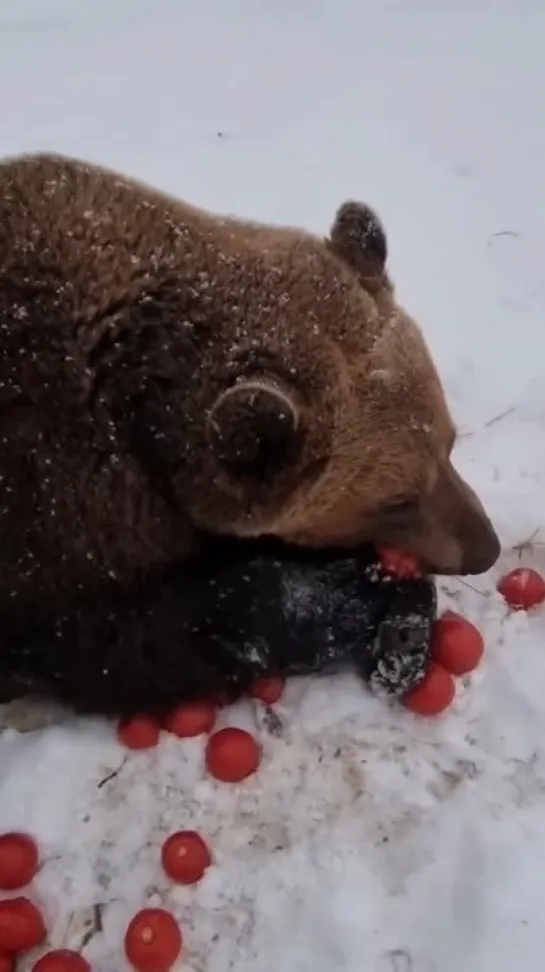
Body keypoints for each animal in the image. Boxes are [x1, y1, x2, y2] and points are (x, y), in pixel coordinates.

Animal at [0, 150, 498, 712]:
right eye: (396, 501)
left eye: (449, 444)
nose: (485, 549)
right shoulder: (55, 502)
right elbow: (132, 635)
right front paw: (364, 601)